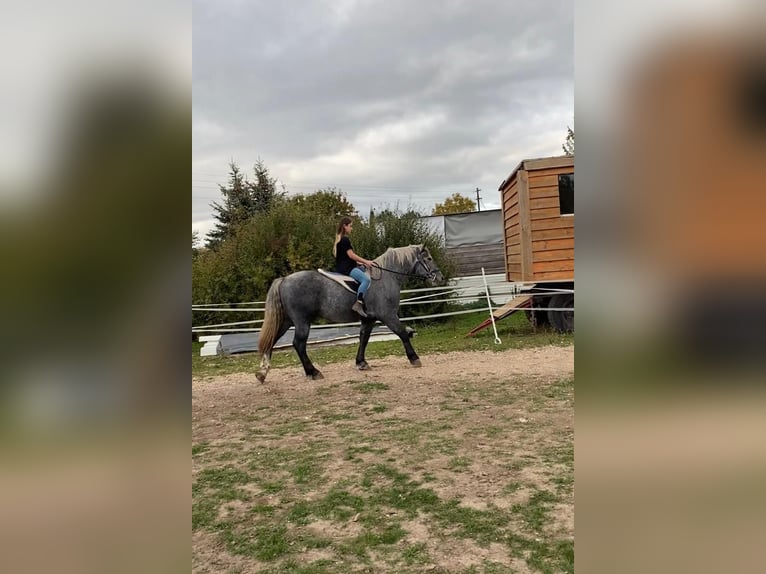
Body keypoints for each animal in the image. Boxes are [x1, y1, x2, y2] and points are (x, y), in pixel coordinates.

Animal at [256, 245, 444, 384]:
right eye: (429, 259)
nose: (439, 278)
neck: (385, 278)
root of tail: (284, 280)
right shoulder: (388, 315)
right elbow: (402, 333)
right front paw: (414, 358)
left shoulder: (369, 319)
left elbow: (364, 339)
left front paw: (361, 363)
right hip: (302, 322)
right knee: (299, 344)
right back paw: (313, 372)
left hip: (287, 321)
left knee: (271, 341)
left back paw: (262, 373)